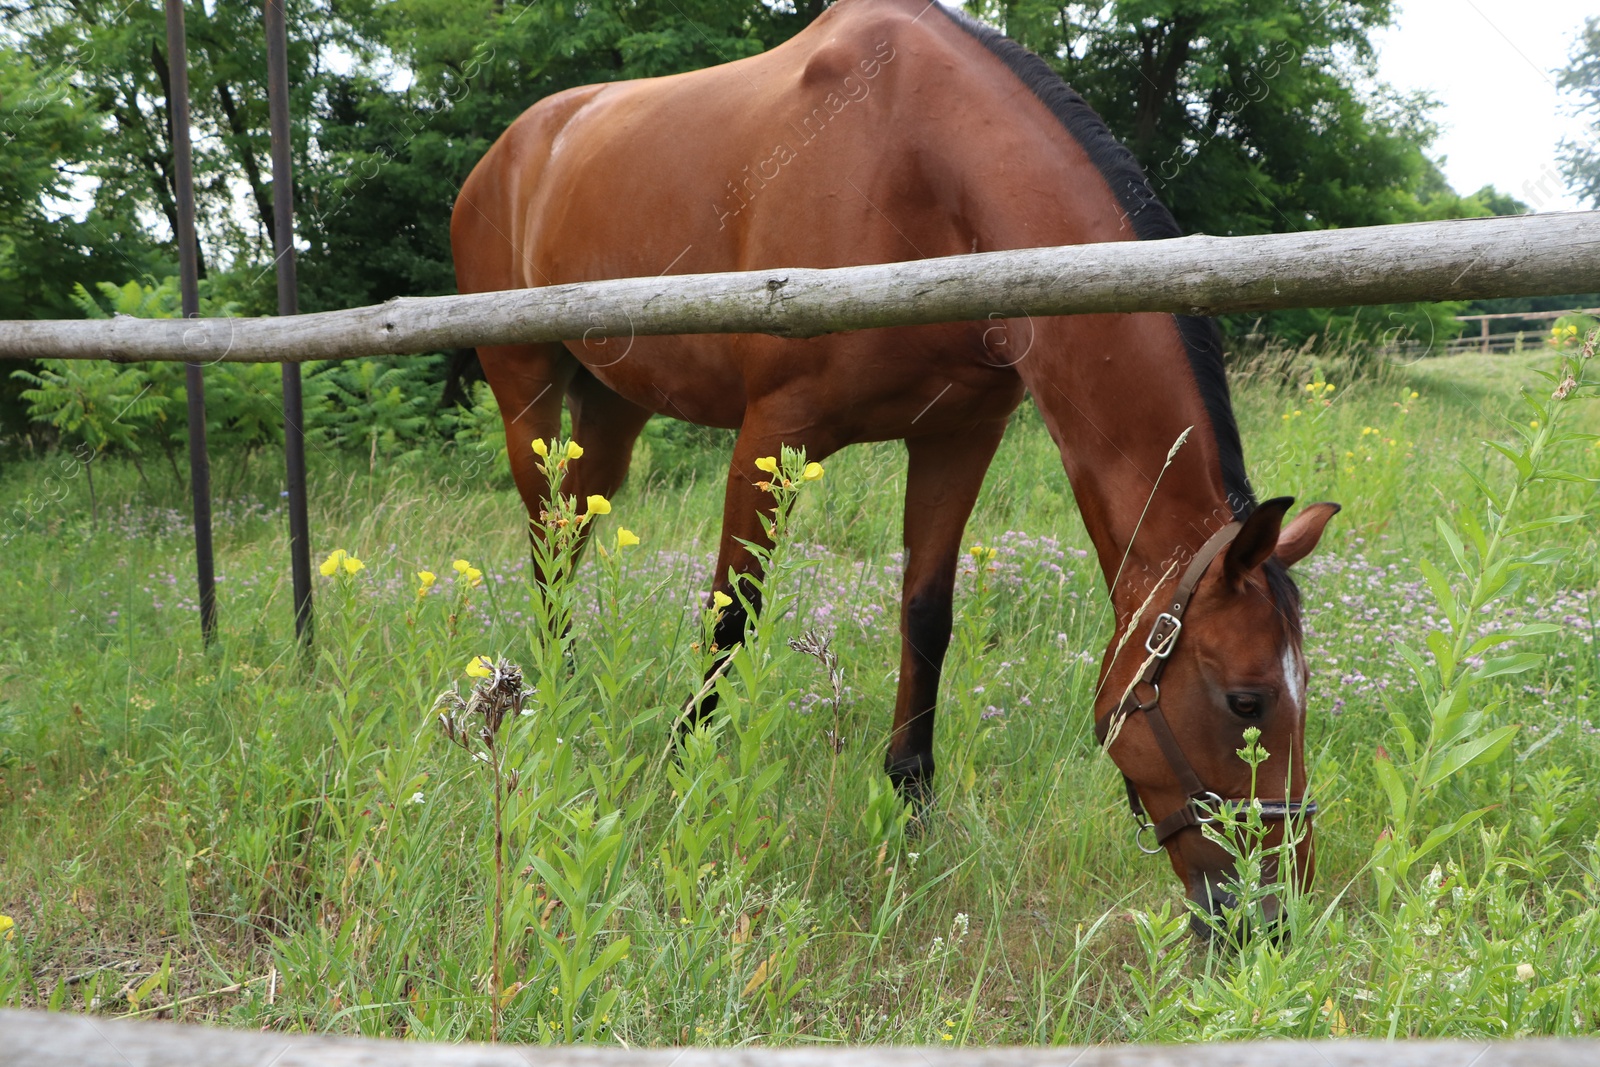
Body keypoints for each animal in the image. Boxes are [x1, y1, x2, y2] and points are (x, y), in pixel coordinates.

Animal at [451, 0, 1337, 927]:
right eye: (1247, 701)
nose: (1274, 914)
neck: (923, 163)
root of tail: (508, 151)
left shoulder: (958, 436)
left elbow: (926, 613)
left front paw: (911, 806)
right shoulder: (772, 431)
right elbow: (733, 614)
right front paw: (684, 777)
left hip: (612, 405)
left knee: (569, 534)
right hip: (526, 391)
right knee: (545, 542)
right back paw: (543, 700)